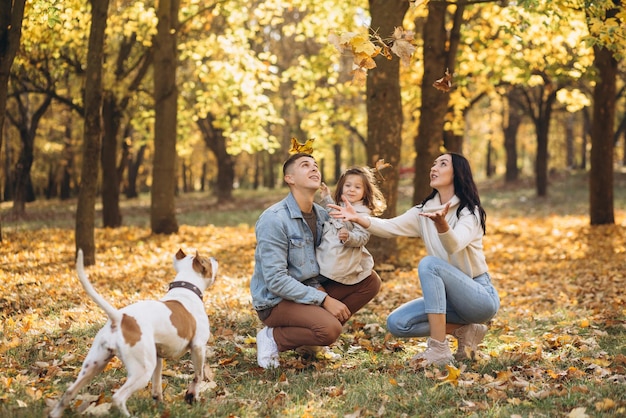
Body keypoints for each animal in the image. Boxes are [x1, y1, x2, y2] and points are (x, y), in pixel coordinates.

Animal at [47, 250, 217, 416]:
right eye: (208, 261)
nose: (215, 258)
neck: (185, 289)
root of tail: (119, 318)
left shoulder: (157, 357)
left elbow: (157, 385)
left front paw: (159, 405)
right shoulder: (198, 347)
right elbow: (198, 376)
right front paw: (192, 396)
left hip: (94, 366)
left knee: (69, 392)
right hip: (142, 371)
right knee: (118, 397)